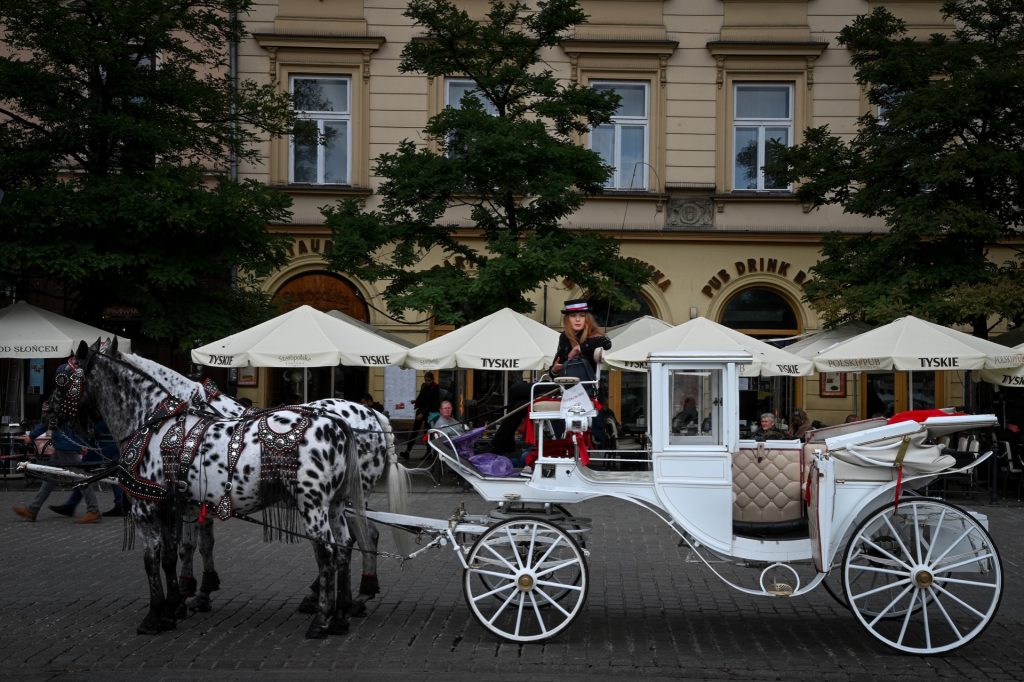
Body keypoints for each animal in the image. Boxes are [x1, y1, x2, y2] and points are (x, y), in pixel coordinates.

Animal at [49, 339, 368, 638]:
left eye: (62, 378)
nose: (48, 414)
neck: (151, 422)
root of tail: (338, 423)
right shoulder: (174, 505)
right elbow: (172, 554)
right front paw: (173, 609)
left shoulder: (146, 507)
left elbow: (152, 559)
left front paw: (155, 616)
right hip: (336, 504)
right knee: (344, 547)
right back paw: (340, 617)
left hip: (313, 505)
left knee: (326, 551)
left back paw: (321, 620)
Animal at [117, 350, 405, 614]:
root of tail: (372, 414)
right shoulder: (198, 500)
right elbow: (199, 544)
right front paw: (199, 590)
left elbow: (190, 545)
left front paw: (191, 591)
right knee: (362, 535)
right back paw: (353, 594)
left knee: (358, 536)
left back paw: (348, 594)